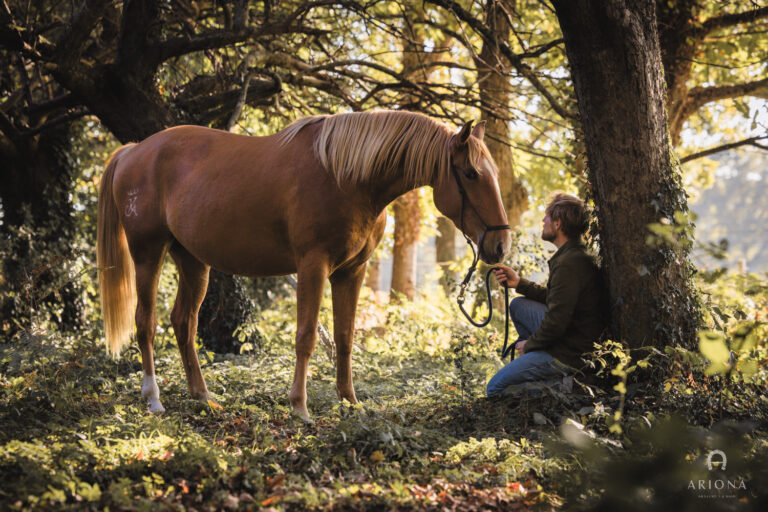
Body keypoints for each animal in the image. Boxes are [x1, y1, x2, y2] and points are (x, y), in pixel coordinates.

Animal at [97, 110, 512, 420]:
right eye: (471, 173)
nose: (501, 245)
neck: (347, 176)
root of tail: (134, 151)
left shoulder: (352, 272)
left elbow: (344, 338)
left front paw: (350, 403)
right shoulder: (313, 266)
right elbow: (307, 337)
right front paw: (299, 407)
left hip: (193, 261)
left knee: (184, 322)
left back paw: (203, 398)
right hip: (148, 253)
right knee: (145, 323)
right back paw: (154, 398)